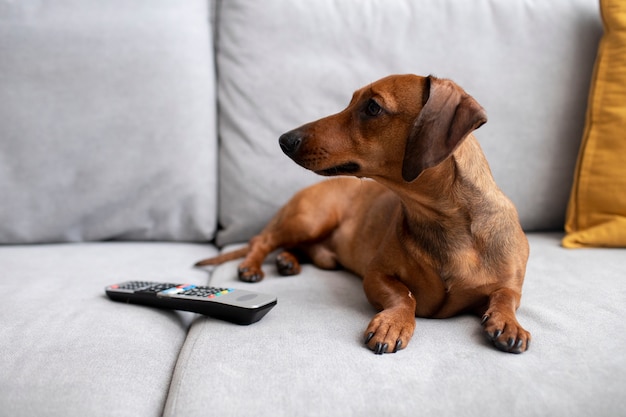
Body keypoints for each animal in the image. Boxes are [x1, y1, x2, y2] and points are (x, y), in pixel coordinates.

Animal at [197, 73, 528, 352]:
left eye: (372, 107)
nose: (284, 140)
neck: (444, 222)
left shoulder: (509, 284)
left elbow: (506, 296)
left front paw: (509, 322)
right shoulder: (376, 275)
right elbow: (404, 296)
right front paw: (393, 322)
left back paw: (287, 261)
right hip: (310, 220)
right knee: (261, 241)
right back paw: (252, 266)